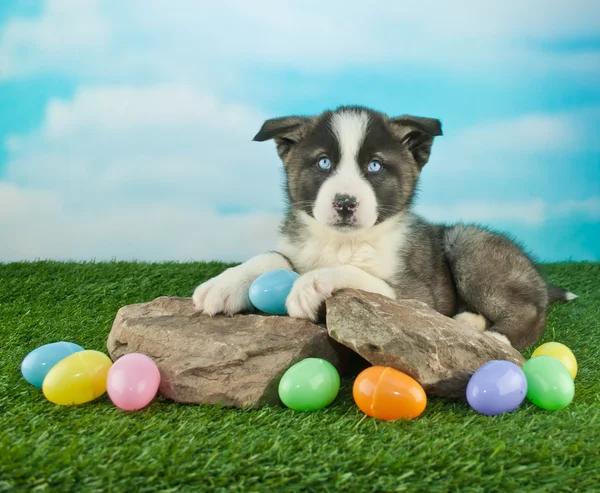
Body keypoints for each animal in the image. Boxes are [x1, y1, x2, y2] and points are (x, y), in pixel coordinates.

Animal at [192, 105, 576, 348]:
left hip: (468, 243)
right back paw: (469, 321)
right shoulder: (297, 248)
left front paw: (311, 284)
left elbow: (359, 275)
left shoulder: (416, 298)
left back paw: (496, 336)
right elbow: (273, 258)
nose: (345, 203)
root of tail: (539, 281)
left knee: (529, 310)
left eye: (374, 166)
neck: (344, 241)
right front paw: (223, 283)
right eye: (323, 162)